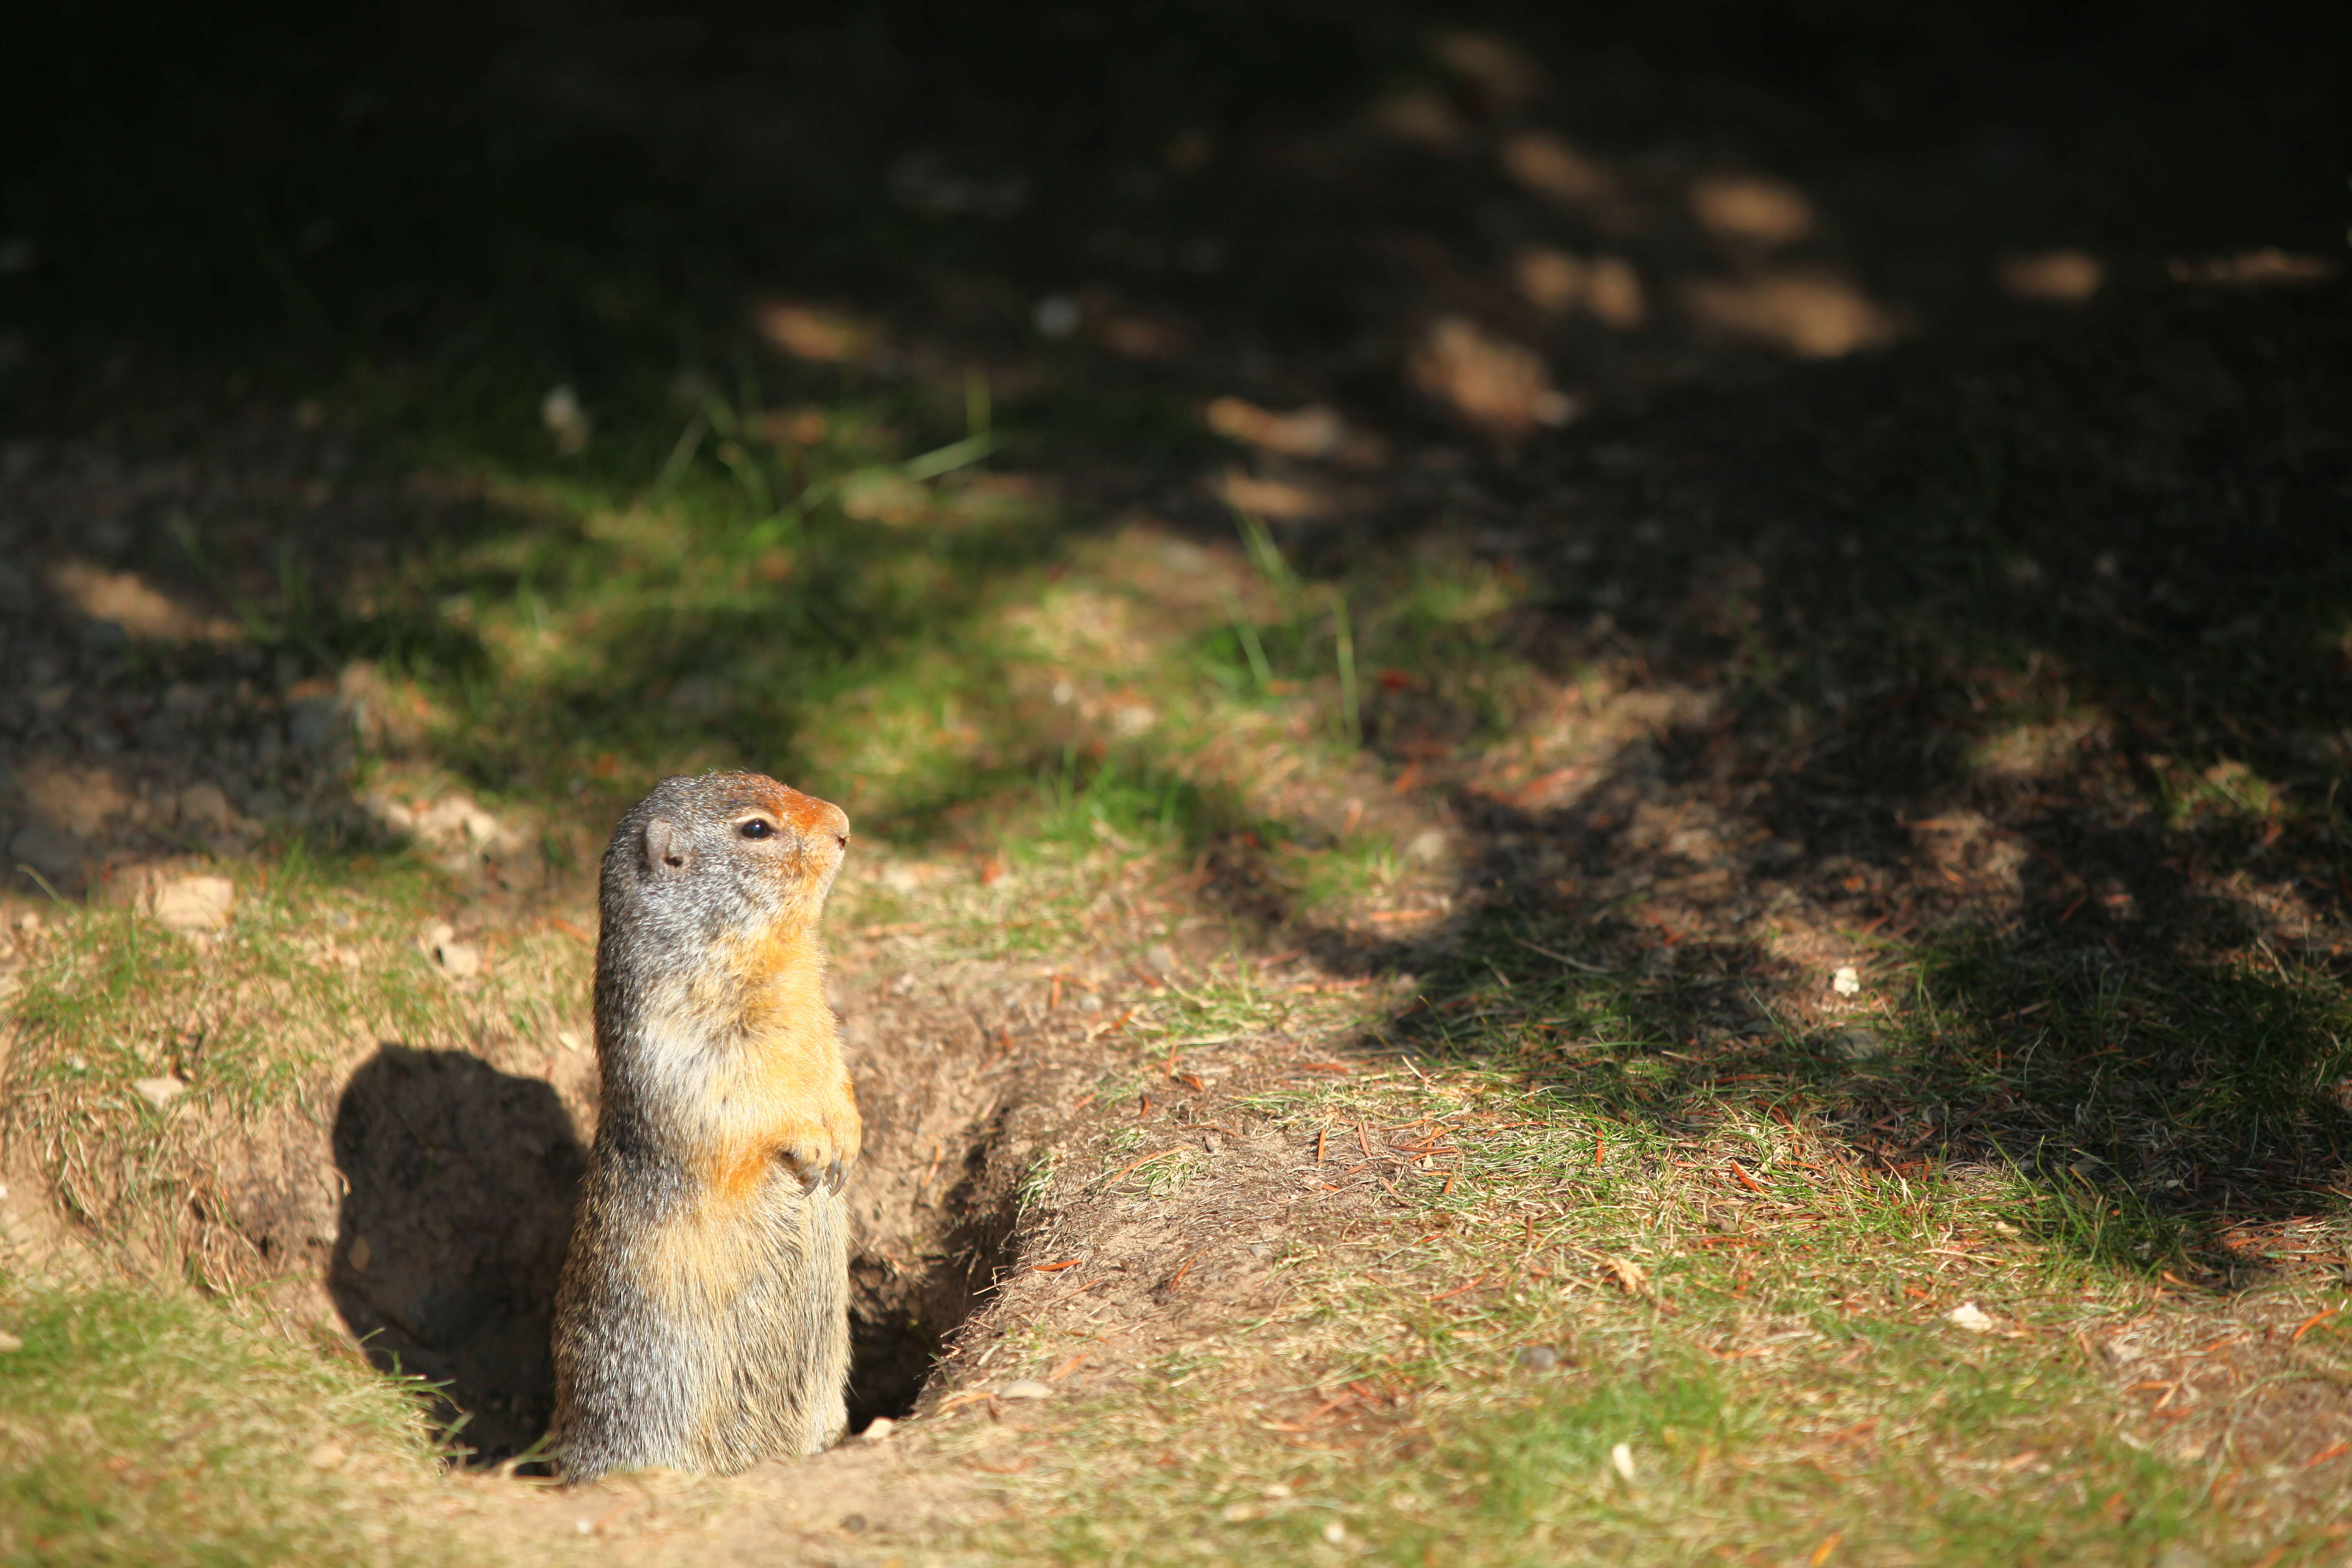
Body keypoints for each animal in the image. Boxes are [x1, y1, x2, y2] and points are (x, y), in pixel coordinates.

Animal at [545, 771, 861, 1485]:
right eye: (756, 829)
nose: (844, 824)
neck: (777, 955)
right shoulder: (682, 1035)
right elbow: (735, 1096)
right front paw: (814, 1144)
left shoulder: (818, 1015)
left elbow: (834, 1067)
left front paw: (848, 1138)